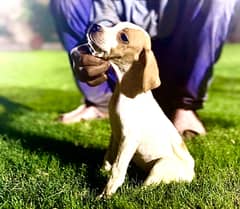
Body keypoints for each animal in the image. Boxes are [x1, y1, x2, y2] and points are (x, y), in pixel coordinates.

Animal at [79, 22, 195, 198]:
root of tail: (192, 173)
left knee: (146, 187)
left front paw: (105, 195)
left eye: (124, 37)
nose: (95, 26)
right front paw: (103, 170)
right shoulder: (116, 134)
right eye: (114, 24)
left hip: (160, 166)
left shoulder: (128, 139)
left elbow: (117, 169)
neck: (125, 88)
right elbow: (108, 157)